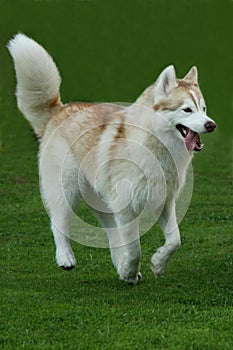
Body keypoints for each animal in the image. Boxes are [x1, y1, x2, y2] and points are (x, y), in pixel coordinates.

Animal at [8, 33, 216, 284]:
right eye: (187, 110)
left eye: (203, 109)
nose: (211, 125)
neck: (156, 147)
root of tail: (59, 110)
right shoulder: (127, 208)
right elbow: (135, 248)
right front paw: (131, 269)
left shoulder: (164, 201)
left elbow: (175, 240)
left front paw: (156, 264)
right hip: (65, 191)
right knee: (58, 223)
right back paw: (66, 257)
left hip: (103, 201)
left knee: (112, 236)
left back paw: (121, 265)